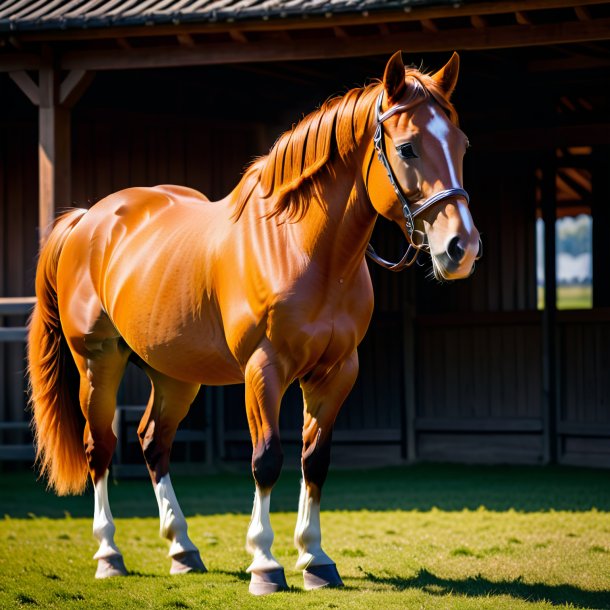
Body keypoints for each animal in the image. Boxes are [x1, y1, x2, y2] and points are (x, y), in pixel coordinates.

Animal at [28, 50, 478, 592]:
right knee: (101, 448)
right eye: (408, 148)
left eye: (461, 145)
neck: (302, 249)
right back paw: (109, 554)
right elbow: (267, 460)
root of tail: (88, 219)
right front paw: (265, 563)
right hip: (98, 363)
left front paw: (316, 559)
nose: (461, 247)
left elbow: (315, 460)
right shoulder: (264, 370)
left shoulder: (336, 371)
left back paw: (183, 549)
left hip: (175, 374)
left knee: (153, 443)